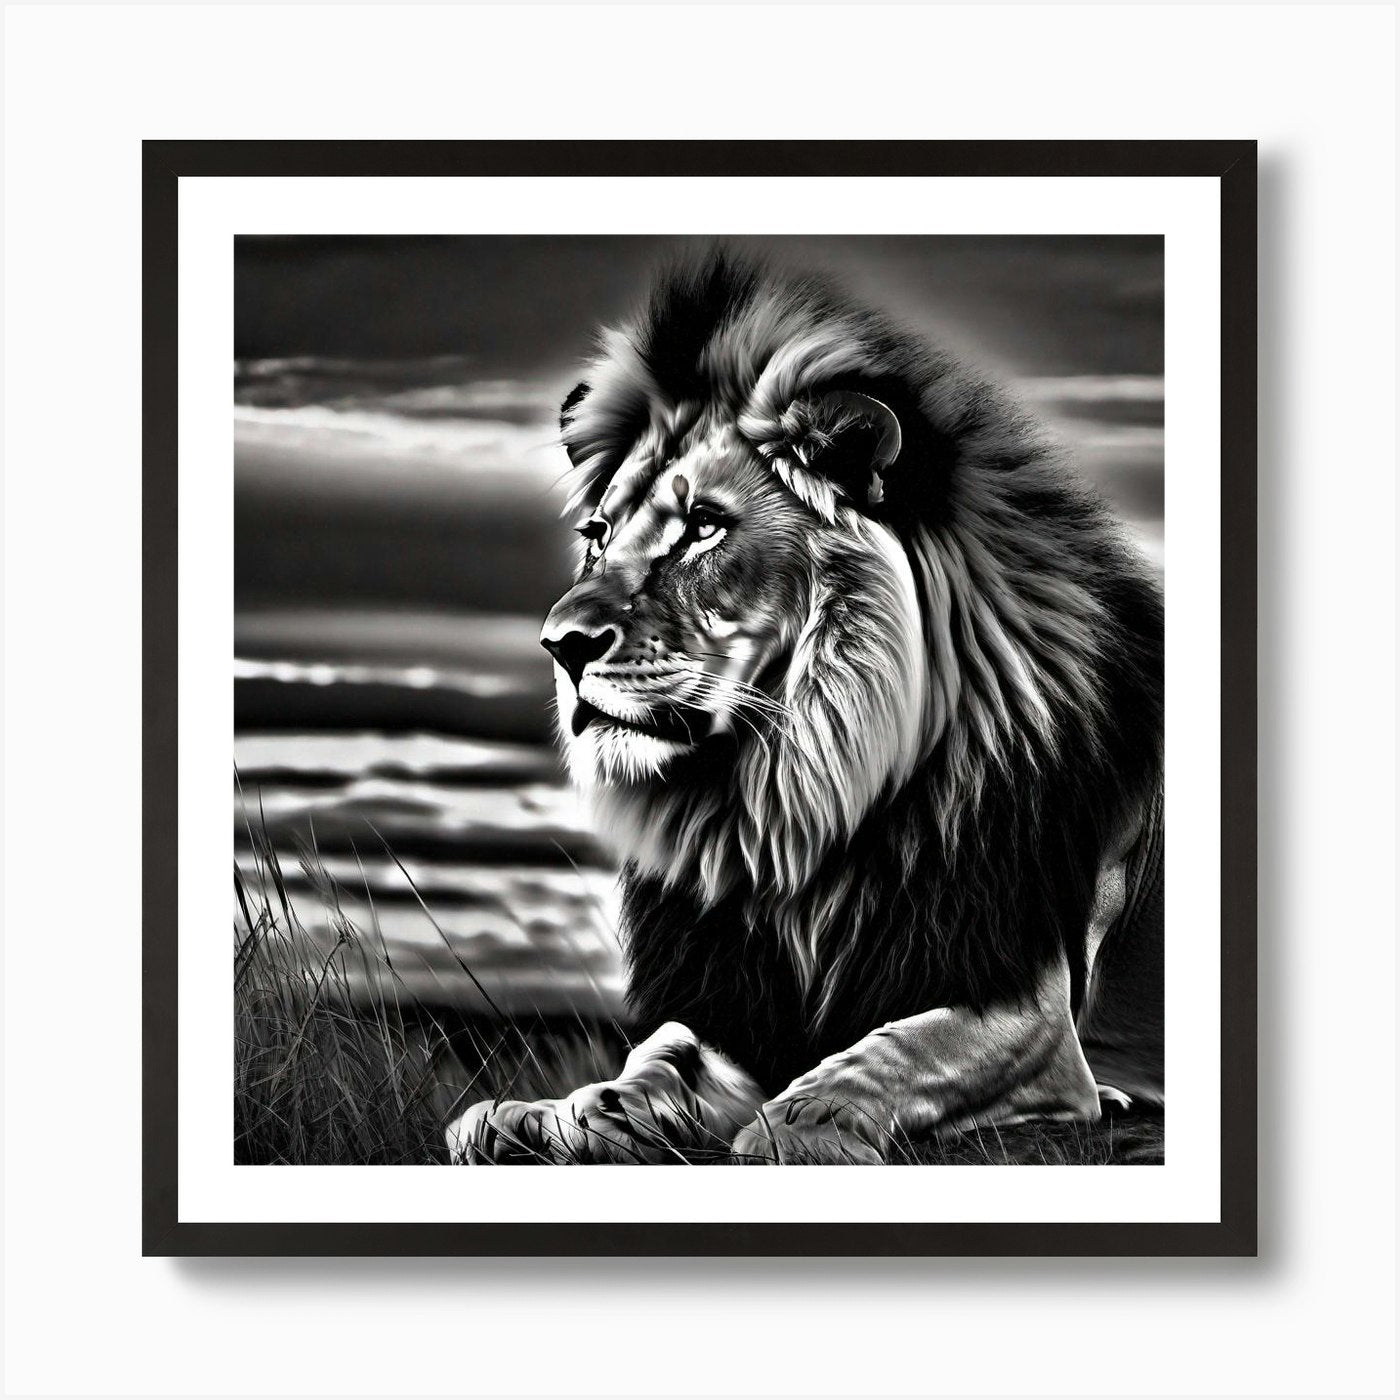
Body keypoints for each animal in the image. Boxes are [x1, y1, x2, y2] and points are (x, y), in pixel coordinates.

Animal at [447, 251, 1164, 1165]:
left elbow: (897, 1052)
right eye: (600, 534)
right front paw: (552, 1116)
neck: (792, 808)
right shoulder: (741, 1004)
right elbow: (664, 1052)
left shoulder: (1030, 1014)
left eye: (704, 527)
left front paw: (797, 1126)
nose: (561, 644)